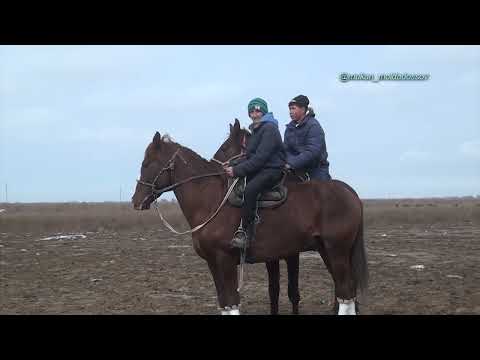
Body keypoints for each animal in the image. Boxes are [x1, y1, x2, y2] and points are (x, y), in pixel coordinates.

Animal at [131, 121, 368, 316]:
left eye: (147, 163)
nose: (136, 200)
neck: (211, 200)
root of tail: (350, 193)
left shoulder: (225, 260)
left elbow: (232, 301)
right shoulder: (213, 263)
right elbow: (224, 302)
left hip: (337, 250)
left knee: (346, 293)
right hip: (328, 250)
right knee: (346, 291)